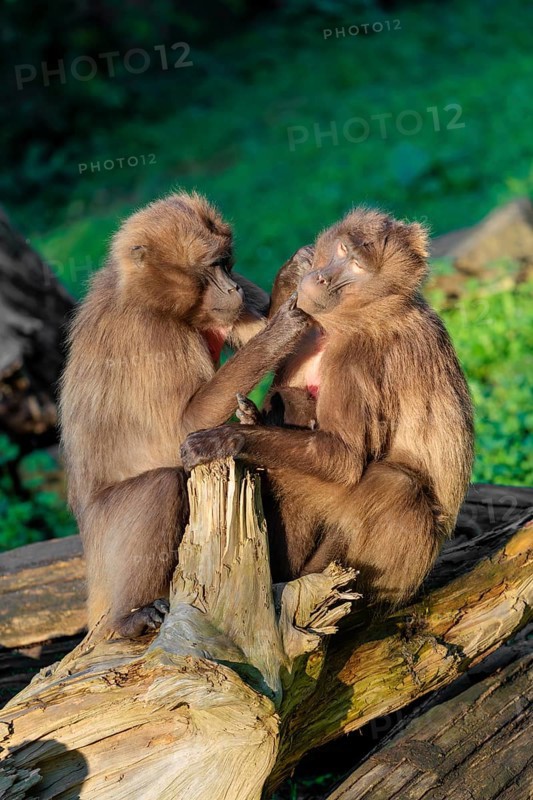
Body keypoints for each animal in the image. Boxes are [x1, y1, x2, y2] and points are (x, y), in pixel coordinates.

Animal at [60, 191, 311, 638]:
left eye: (227, 262)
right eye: (211, 266)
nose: (231, 287)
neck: (146, 296)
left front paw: (292, 274)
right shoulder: (151, 336)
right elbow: (181, 429)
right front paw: (281, 330)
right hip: (103, 540)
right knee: (160, 486)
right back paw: (130, 616)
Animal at [181, 207, 475, 606]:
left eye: (357, 267)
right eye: (341, 250)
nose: (321, 277)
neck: (361, 312)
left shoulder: (354, 358)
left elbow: (344, 459)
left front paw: (225, 438)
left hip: (405, 568)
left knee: (393, 486)